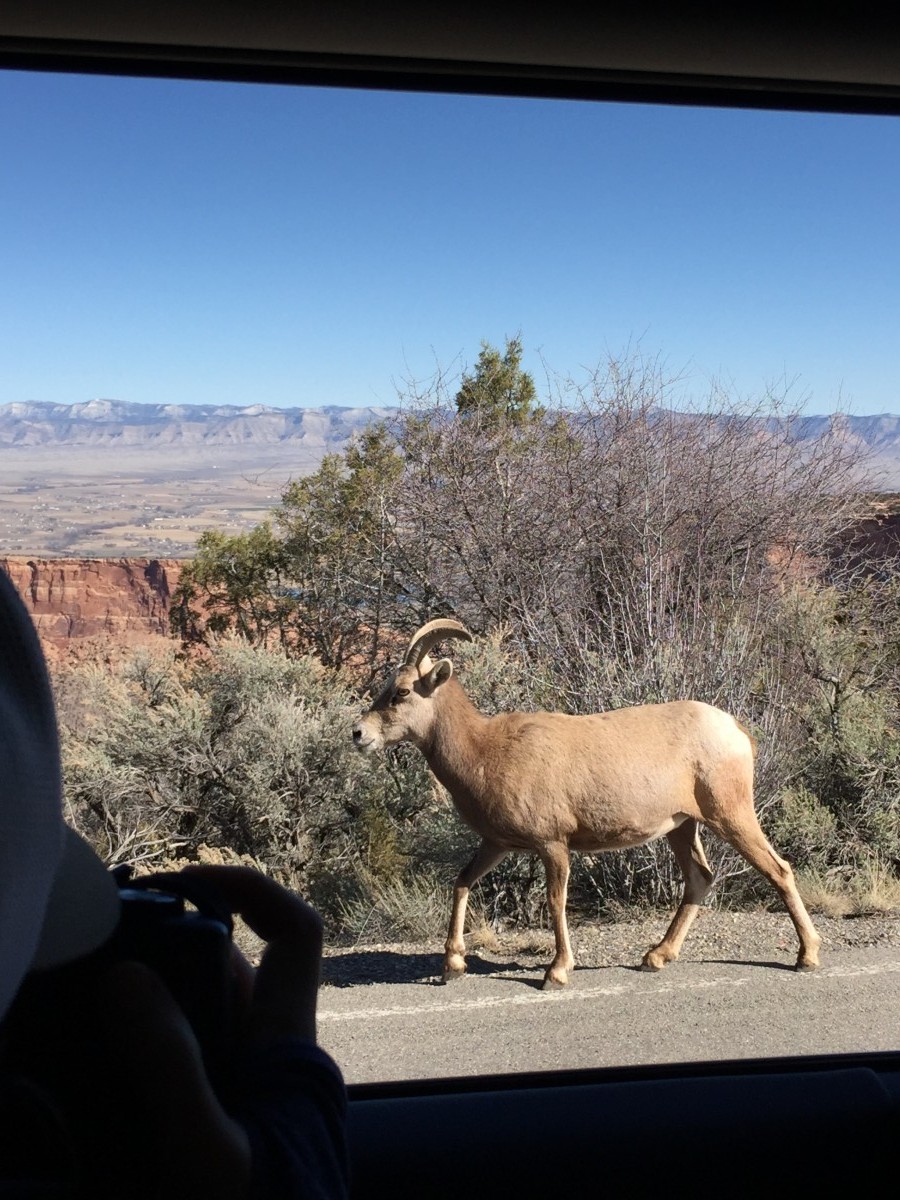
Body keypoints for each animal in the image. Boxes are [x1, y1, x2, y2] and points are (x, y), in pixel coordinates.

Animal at [352, 619, 825, 984]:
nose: (359, 734)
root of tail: (737, 732)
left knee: (778, 870)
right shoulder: (497, 844)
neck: (486, 751)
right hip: (682, 827)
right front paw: (452, 966)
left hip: (730, 815)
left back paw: (806, 957)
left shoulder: (552, 845)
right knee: (700, 879)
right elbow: (462, 882)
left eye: (402, 692)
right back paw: (655, 958)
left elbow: (555, 901)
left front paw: (556, 973)